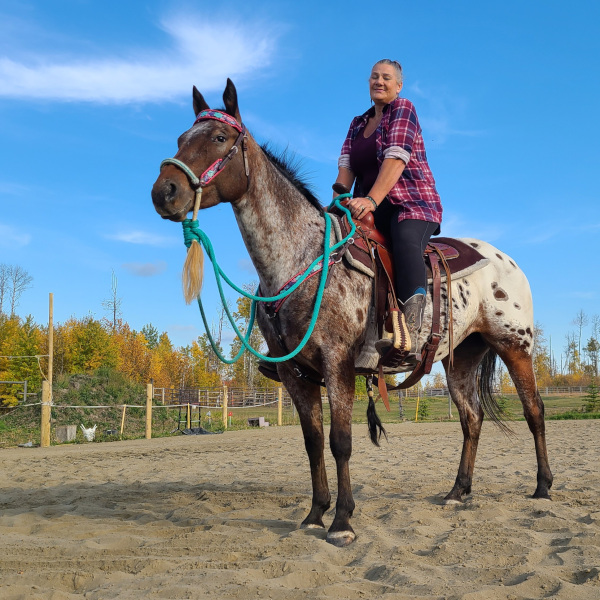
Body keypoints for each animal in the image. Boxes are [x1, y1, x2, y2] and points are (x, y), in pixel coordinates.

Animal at [152, 81, 556, 548]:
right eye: (181, 138)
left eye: (219, 137)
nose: (163, 192)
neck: (300, 259)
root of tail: (508, 262)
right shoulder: (294, 372)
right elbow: (312, 442)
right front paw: (314, 514)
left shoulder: (338, 363)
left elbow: (340, 441)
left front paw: (342, 521)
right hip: (462, 359)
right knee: (471, 419)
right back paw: (458, 491)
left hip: (514, 346)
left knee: (534, 411)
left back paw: (543, 487)